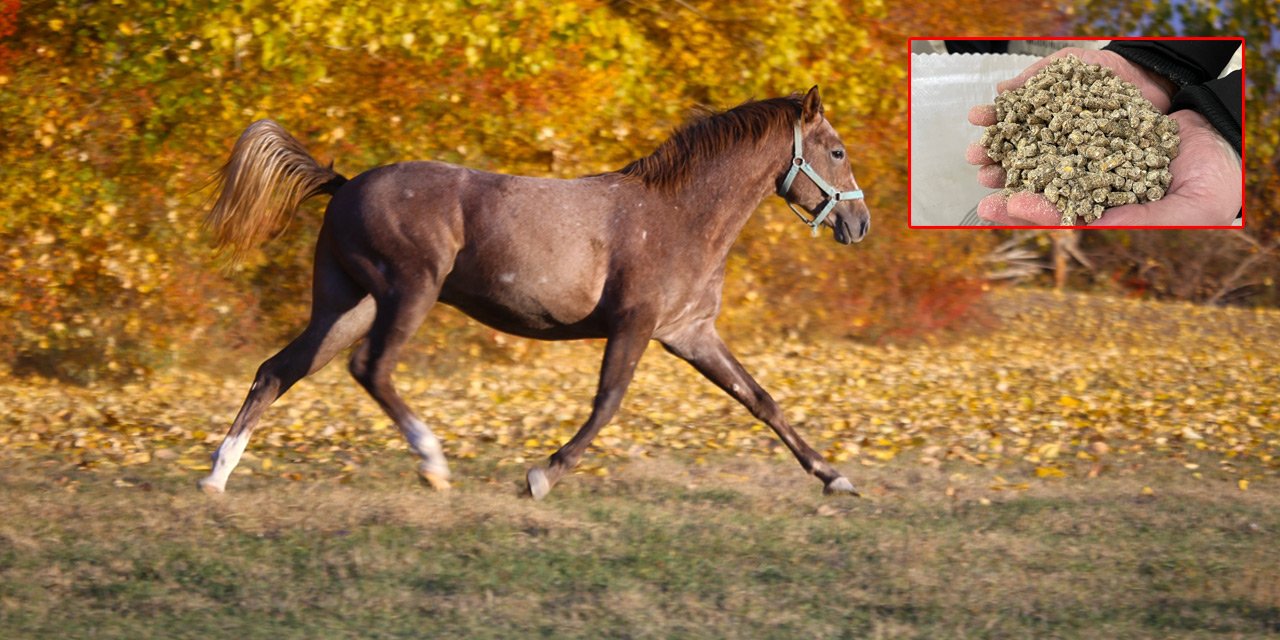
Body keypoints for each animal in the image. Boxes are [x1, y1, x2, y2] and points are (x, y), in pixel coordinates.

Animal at [199, 85, 870, 496]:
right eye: (837, 150)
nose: (859, 224)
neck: (678, 214)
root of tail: (343, 186)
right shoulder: (635, 325)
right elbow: (607, 403)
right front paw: (542, 476)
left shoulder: (690, 333)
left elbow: (761, 400)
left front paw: (834, 477)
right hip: (406, 293)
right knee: (370, 369)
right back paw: (434, 464)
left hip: (348, 305)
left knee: (277, 371)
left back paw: (216, 477)